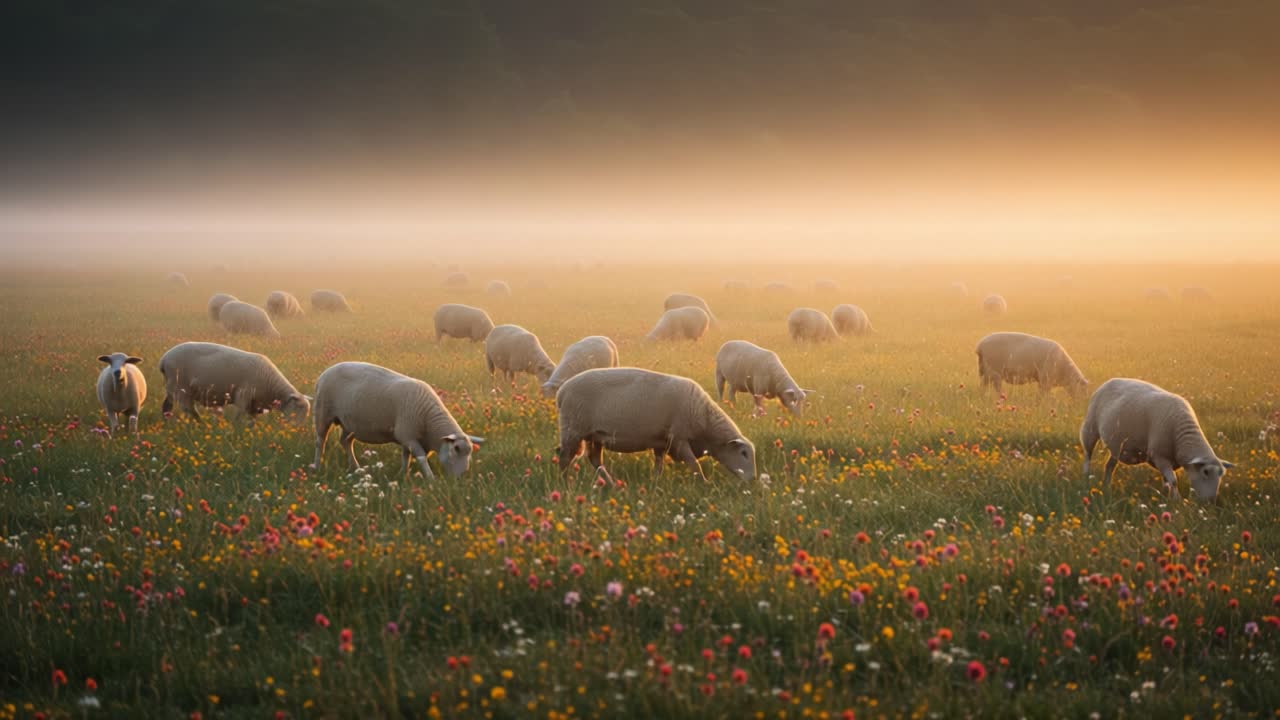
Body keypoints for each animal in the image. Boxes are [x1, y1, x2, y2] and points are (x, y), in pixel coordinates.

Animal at [158, 342, 310, 422]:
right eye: (297, 409)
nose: (296, 431)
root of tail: (164, 359)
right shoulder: (244, 397)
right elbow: (238, 419)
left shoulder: (255, 405)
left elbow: (251, 422)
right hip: (180, 388)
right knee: (189, 409)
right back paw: (200, 423)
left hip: (171, 388)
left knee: (167, 406)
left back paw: (166, 421)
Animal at [313, 361, 484, 480]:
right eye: (456, 449)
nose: (462, 476)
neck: (429, 423)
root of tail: (324, 373)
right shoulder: (407, 435)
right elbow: (420, 457)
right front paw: (431, 479)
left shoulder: (408, 437)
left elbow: (406, 456)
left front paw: (403, 474)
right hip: (323, 413)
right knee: (321, 441)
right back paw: (317, 465)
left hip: (350, 423)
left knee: (345, 441)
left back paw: (355, 467)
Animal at [556, 367, 756, 482]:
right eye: (743, 453)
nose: (753, 479)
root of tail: (562, 391)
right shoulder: (679, 438)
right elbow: (695, 466)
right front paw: (705, 485)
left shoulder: (661, 442)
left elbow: (659, 466)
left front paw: (655, 484)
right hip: (573, 429)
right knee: (564, 458)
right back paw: (565, 485)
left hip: (595, 435)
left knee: (595, 461)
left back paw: (612, 485)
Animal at [1080, 378, 1233, 501]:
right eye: (1205, 472)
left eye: (1221, 474)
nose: (1211, 501)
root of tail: (1108, 381)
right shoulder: (1160, 456)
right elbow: (1173, 481)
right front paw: (1176, 500)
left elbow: (1167, 480)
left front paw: (1166, 496)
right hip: (1090, 428)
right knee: (1088, 454)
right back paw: (1086, 476)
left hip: (1117, 446)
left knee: (1109, 466)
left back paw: (1106, 485)